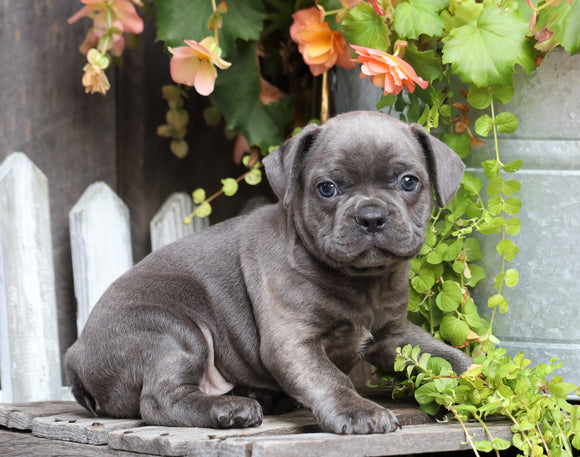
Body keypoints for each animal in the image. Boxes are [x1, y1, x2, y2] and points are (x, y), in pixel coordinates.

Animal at [64, 111, 472, 434]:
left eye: (409, 182)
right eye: (327, 188)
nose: (371, 216)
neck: (361, 281)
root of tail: (74, 353)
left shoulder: (394, 335)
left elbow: (444, 354)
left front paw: (479, 375)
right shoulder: (294, 342)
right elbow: (331, 377)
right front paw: (358, 411)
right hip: (171, 330)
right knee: (159, 400)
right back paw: (231, 408)